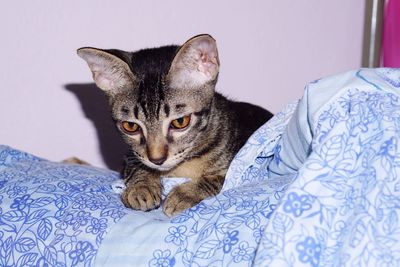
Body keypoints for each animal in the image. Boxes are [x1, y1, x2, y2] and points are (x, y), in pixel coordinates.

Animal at [77, 34, 274, 218]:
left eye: (180, 122)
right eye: (130, 126)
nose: (157, 159)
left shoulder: (243, 162)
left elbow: (221, 178)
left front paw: (185, 194)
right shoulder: (130, 156)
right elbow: (136, 165)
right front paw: (141, 187)